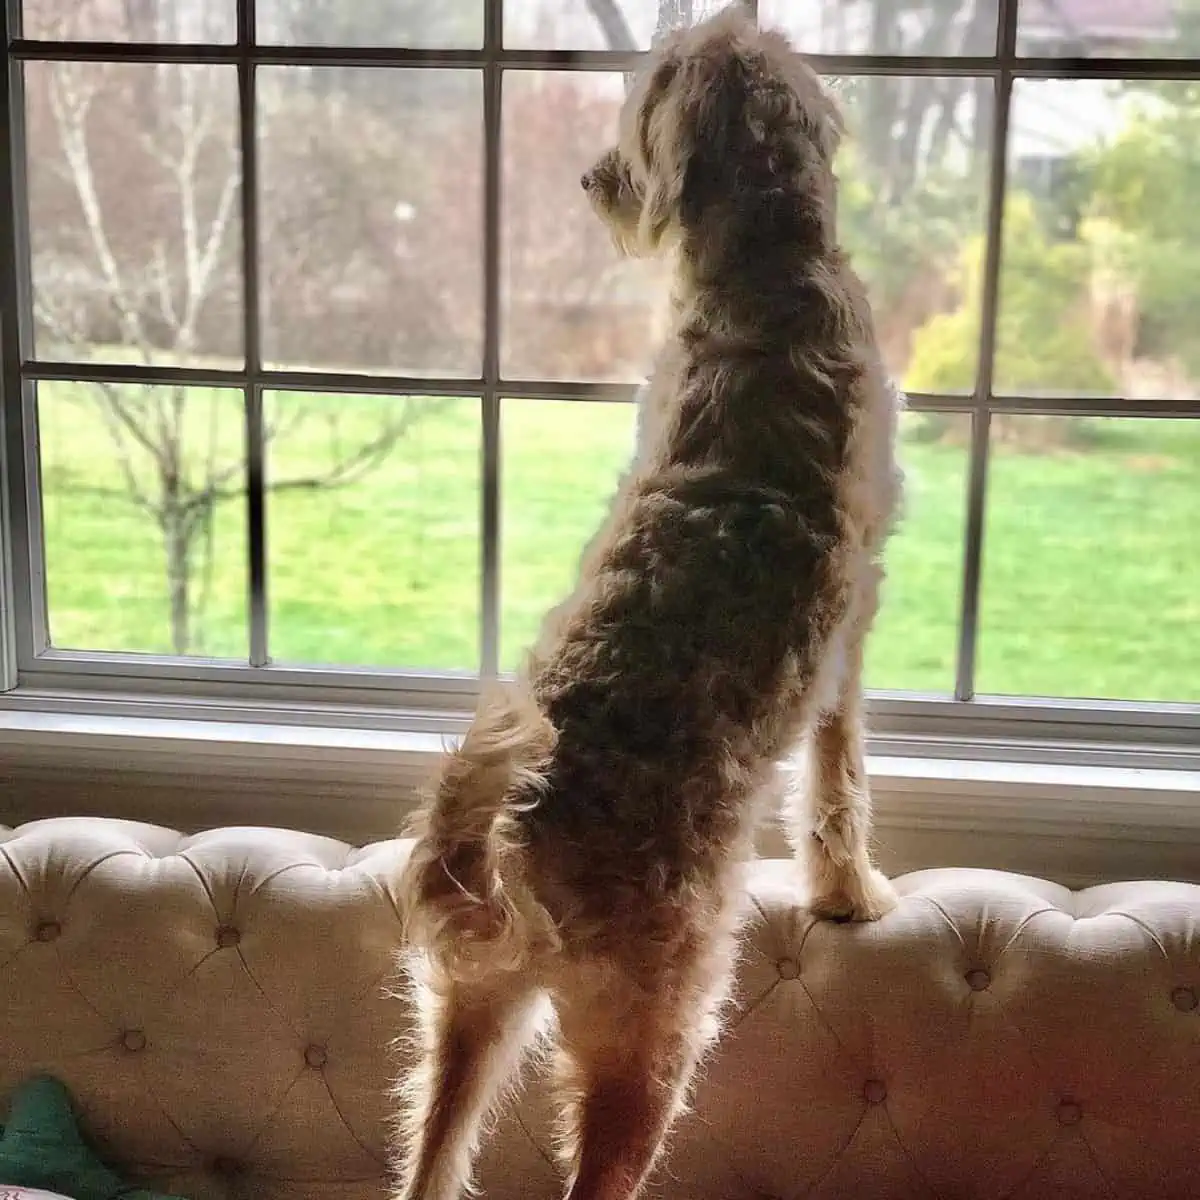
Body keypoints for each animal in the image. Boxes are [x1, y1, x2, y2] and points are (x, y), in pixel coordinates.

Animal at [393, 9, 902, 1200]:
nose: (593, 178)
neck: (767, 275)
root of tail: (514, 848)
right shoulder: (852, 632)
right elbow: (840, 780)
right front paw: (850, 892)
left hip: (470, 1017)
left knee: (426, 1166)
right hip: (653, 1039)